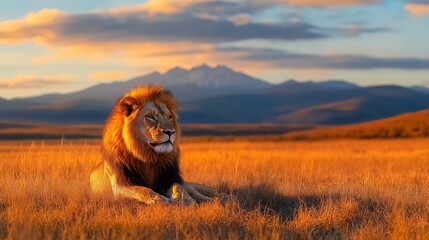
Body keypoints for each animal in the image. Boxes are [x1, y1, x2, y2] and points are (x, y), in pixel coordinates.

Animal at [89, 85, 217, 205]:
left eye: (169, 117)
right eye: (150, 116)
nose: (170, 132)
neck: (148, 156)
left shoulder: (168, 179)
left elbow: (179, 186)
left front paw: (184, 200)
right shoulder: (120, 185)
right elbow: (143, 190)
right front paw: (159, 200)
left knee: (197, 190)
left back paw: (215, 199)